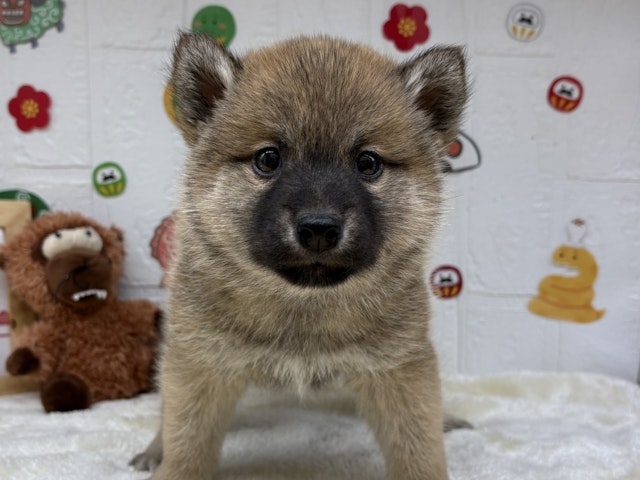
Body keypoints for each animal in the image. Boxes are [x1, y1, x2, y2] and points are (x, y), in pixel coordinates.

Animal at [132, 31, 468, 478]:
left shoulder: (399, 367)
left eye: (368, 163)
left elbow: (420, 445)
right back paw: (153, 449)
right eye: (268, 159)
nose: (319, 228)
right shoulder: (200, 362)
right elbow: (185, 441)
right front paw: (170, 462)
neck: (303, 309)